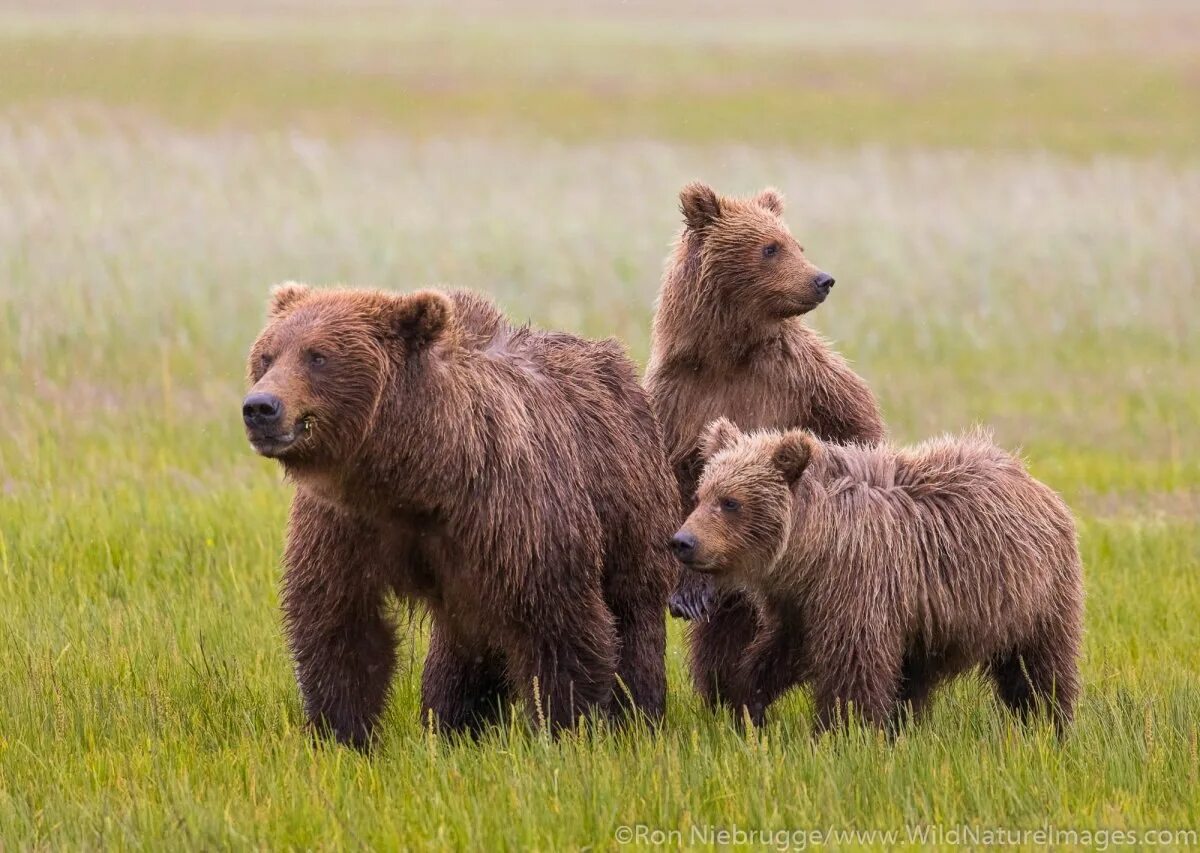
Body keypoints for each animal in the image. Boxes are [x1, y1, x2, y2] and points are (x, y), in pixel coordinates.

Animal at [643, 183, 888, 710]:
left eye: (795, 242)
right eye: (770, 248)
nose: (822, 279)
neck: (729, 354)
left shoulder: (803, 381)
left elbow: (855, 425)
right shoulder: (676, 400)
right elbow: (676, 483)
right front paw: (686, 594)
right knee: (719, 641)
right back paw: (725, 696)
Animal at [676, 419, 1089, 734]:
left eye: (731, 502)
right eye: (700, 495)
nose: (683, 541)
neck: (812, 548)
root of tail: (1034, 480)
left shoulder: (860, 582)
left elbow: (853, 666)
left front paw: (840, 733)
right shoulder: (799, 601)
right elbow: (779, 653)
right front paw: (748, 706)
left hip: (1032, 594)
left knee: (1037, 666)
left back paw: (1049, 722)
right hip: (934, 621)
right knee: (916, 675)